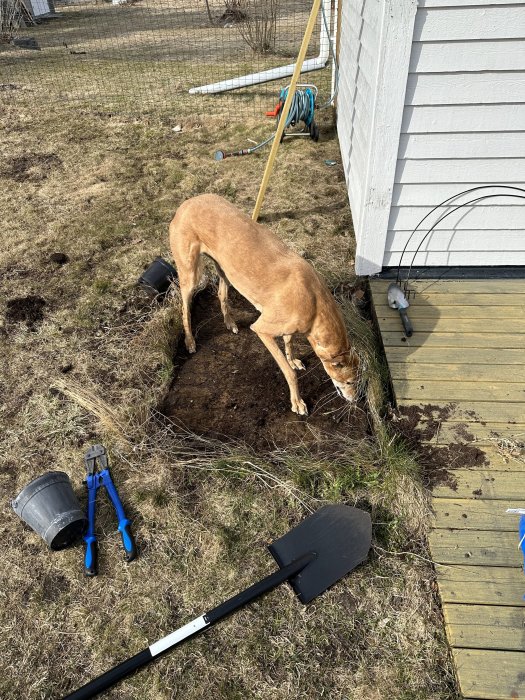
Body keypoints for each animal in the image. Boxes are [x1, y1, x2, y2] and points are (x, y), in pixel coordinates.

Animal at [170, 194, 358, 412]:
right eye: (349, 381)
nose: (355, 400)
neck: (314, 302)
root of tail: (187, 203)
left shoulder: (289, 324)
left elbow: (289, 341)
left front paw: (293, 360)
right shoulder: (262, 330)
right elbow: (289, 373)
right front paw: (297, 402)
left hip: (225, 269)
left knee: (221, 293)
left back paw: (230, 323)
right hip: (190, 274)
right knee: (184, 307)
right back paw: (190, 341)